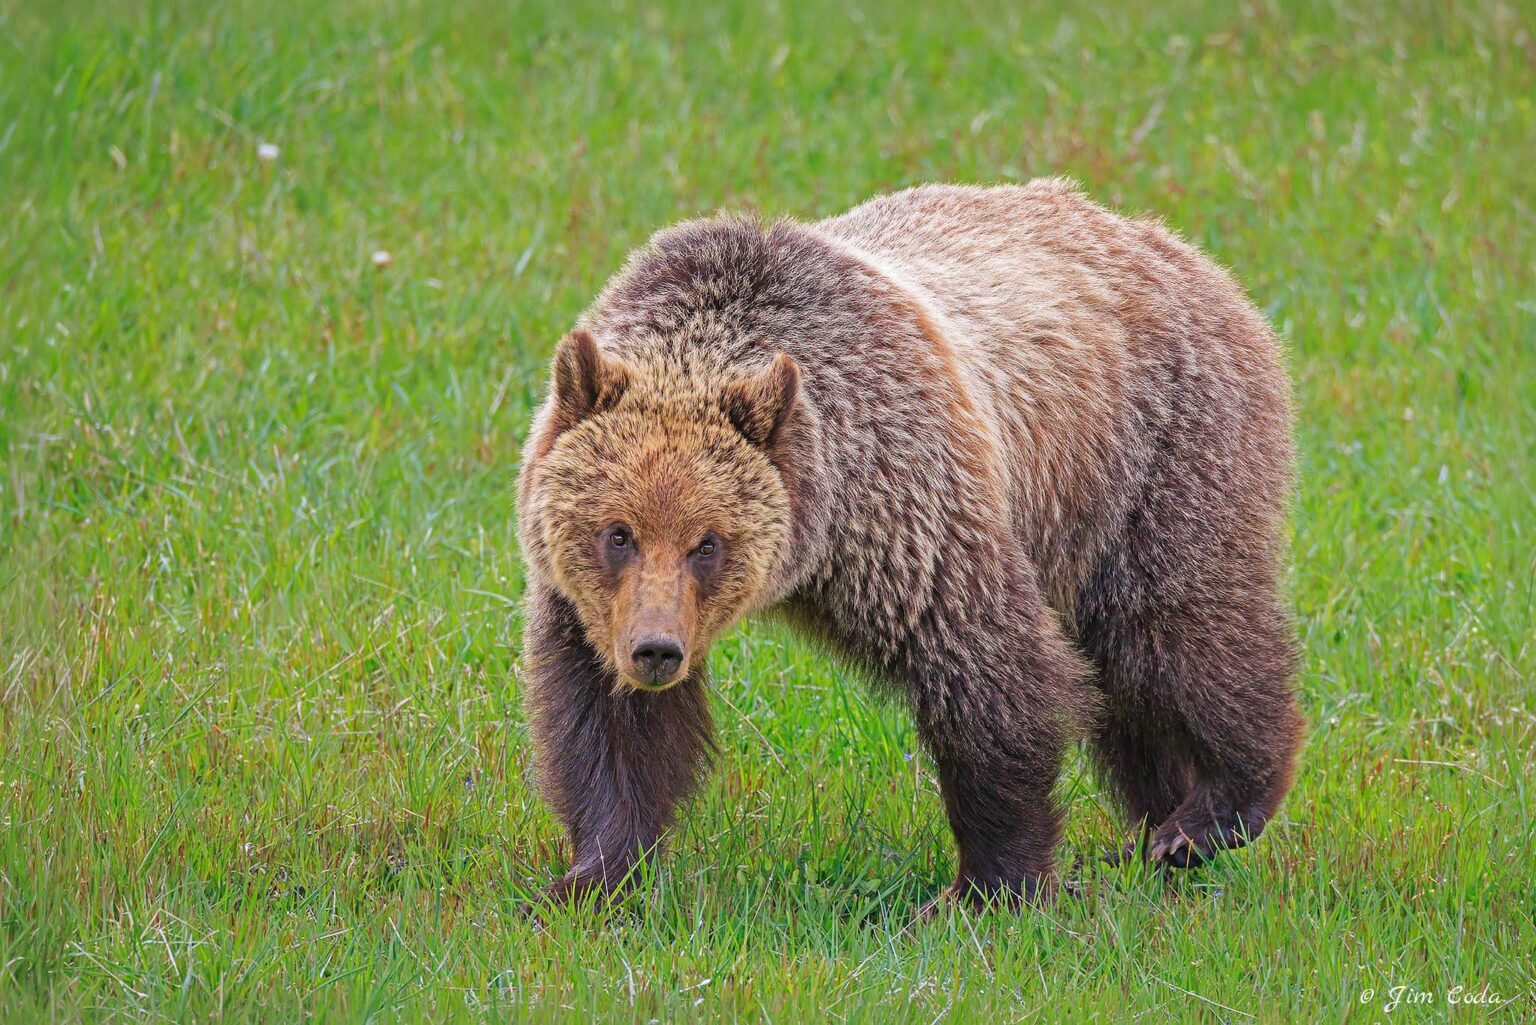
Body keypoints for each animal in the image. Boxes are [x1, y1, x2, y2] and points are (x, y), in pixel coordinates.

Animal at [515, 180, 1304, 911]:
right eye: (618, 533)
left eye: (708, 543)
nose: (657, 651)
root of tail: (1188, 255)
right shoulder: (589, 603)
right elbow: (608, 725)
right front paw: (590, 878)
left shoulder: (907, 512)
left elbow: (987, 672)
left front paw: (987, 886)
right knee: (1128, 687)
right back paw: (1154, 830)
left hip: (1157, 459)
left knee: (1177, 631)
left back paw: (1209, 814)